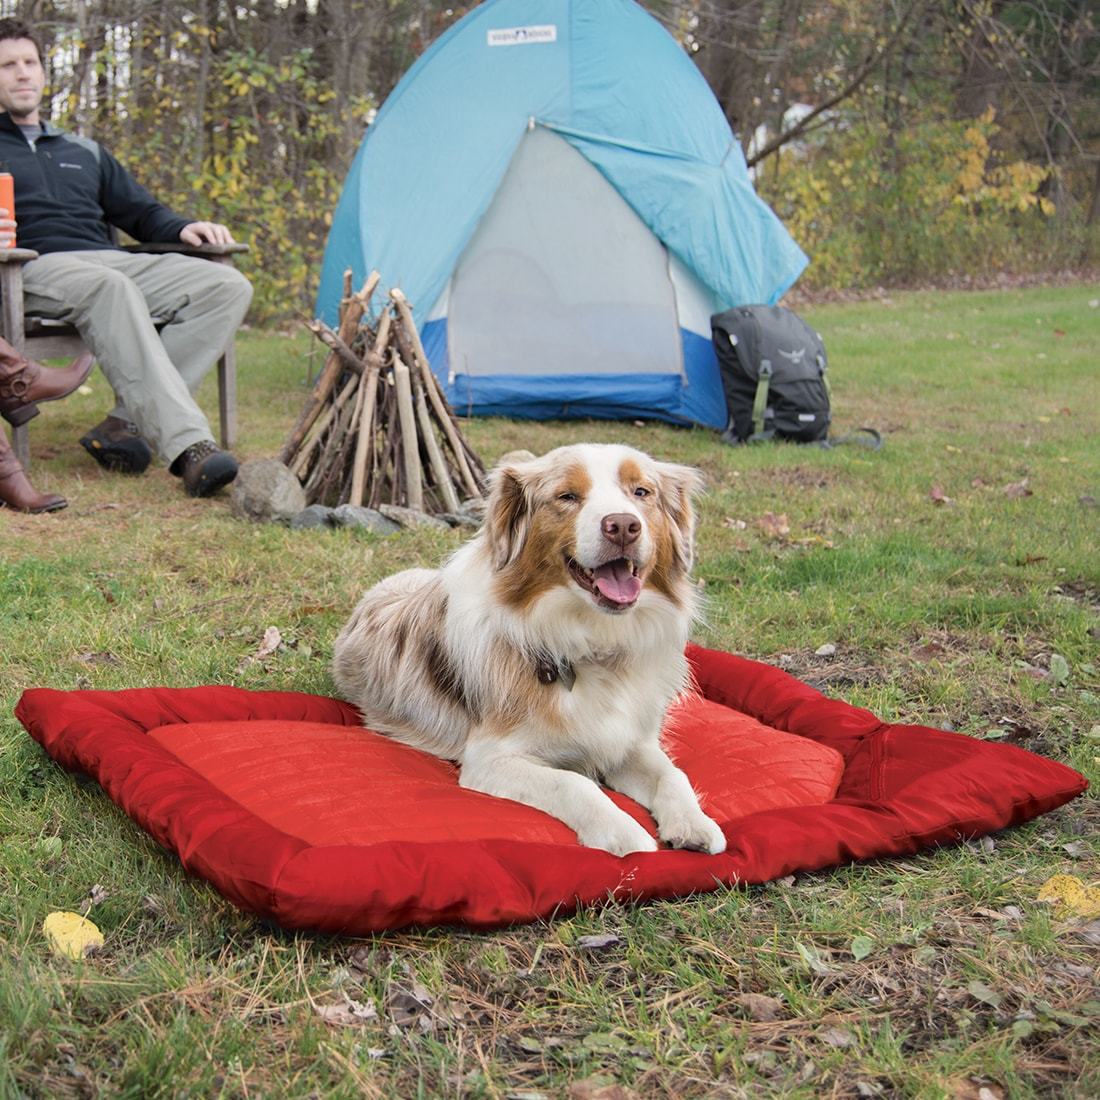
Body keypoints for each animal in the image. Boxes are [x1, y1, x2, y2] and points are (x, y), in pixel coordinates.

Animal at [330, 442, 726, 853]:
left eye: (641, 492)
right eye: (567, 496)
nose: (622, 526)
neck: (593, 641)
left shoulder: (630, 741)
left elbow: (673, 774)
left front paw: (694, 823)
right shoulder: (490, 758)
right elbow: (574, 782)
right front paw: (625, 833)